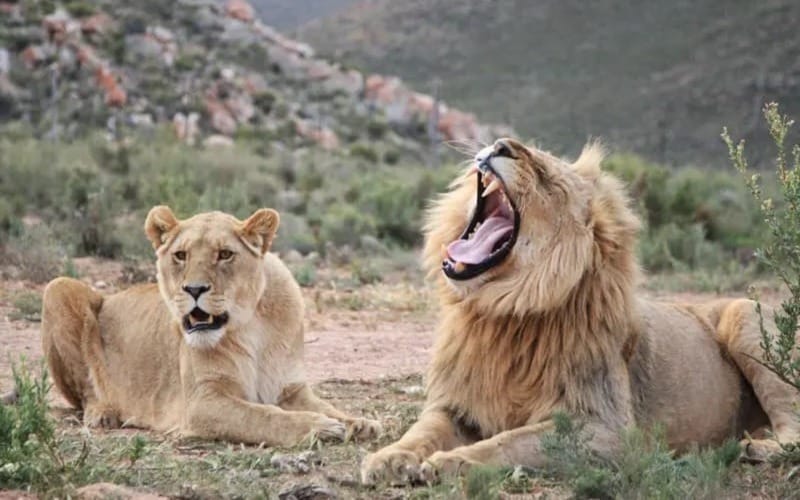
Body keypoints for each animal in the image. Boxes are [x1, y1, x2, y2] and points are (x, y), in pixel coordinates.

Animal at [41, 206, 381, 445]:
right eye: (181, 255)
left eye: (225, 254)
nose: (194, 289)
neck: (250, 324)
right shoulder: (202, 402)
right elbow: (264, 416)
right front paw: (319, 427)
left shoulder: (290, 389)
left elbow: (326, 405)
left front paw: (358, 423)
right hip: (57, 287)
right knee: (85, 394)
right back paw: (104, 412)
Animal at [361, 138, 800, 484]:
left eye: (544, 176)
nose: (500, 145)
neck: (503, 311)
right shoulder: (455, 404)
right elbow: (423, 430)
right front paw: (388, 458)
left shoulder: (607, 428)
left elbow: (508, 443)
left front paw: (452, 462)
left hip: (744, 315)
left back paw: (758, 449)